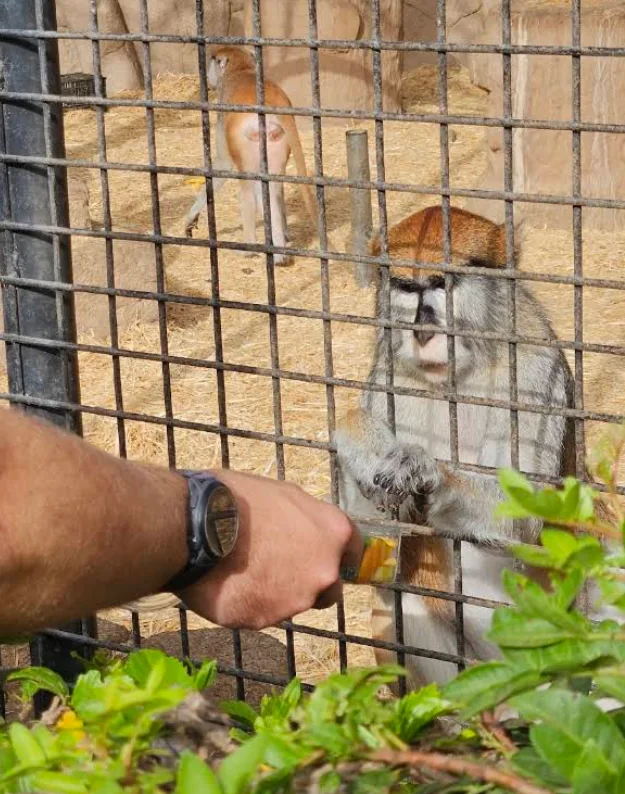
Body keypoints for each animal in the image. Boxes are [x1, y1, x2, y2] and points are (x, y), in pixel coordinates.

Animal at [184, 46, 321, 265]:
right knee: (273, 189)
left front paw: (191, 216)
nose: (208, 77)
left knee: (247, 188)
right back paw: (280, 250)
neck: (241, 69)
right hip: (276, 138)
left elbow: (224, 165)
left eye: (212, 59)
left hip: (247, 137)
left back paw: (249, 248)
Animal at [334, 204, 576, 688]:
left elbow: (522, 520)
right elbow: (373, 543)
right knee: (400, 601)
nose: (422, 331)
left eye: (441, 285)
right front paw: (358, 440)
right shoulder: (389, 375)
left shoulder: (537, 373)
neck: (460, 375)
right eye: (406, 287)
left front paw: (423, 469)